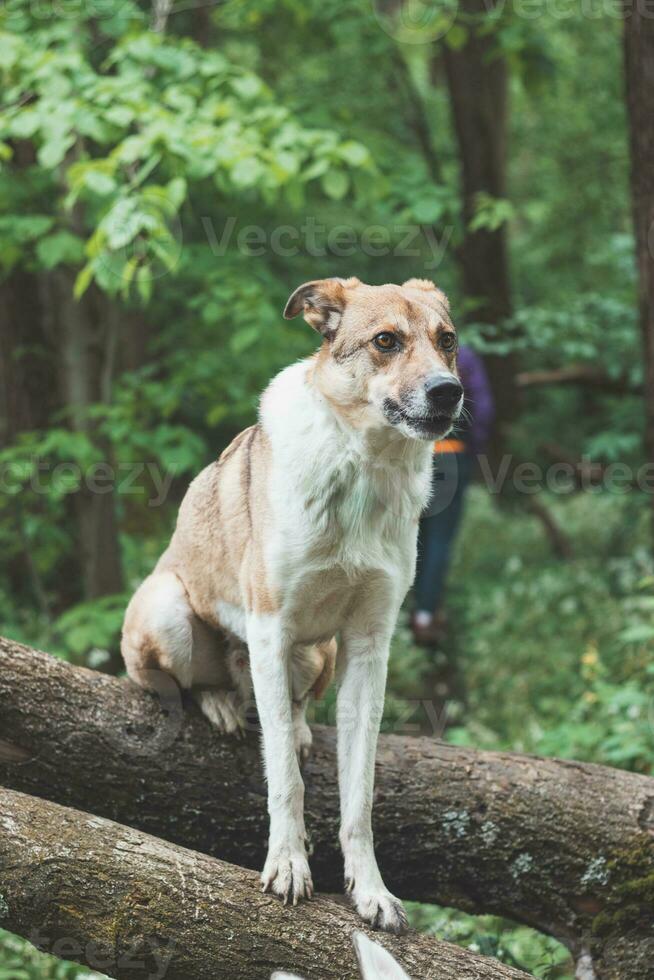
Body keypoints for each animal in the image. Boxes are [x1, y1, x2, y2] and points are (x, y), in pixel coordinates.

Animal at [120, 276, 464, 936]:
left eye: (448, 341)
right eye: (386, 341)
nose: (448, 391)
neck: (363, 467)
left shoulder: (368, 646)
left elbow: (359, 794)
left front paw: (370, 891)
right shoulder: (269, 626)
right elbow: (284, 776)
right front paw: (287, 865)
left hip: (319, 652)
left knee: (295, 703)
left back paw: (294, 721)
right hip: (170, 613)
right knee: (181, 683)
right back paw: (220, 702)